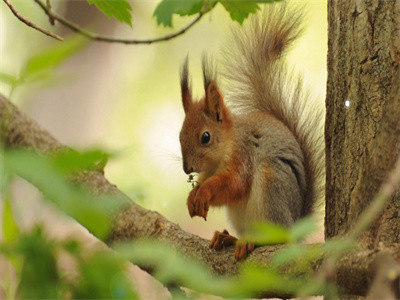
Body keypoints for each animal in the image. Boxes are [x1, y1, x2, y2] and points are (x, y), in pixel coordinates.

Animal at [178, 3, 324, 258]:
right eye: (179, 134)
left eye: (205, 137)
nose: (188, 169)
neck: (225, 146)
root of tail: (295, 226)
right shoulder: (210, 169)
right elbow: (207, 182)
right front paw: (191, 196)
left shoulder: (243, 154)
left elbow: (233, 184)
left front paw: (204, 192)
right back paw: (228, 237)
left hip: (272, 185)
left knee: (276, 238)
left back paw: (253, 242)